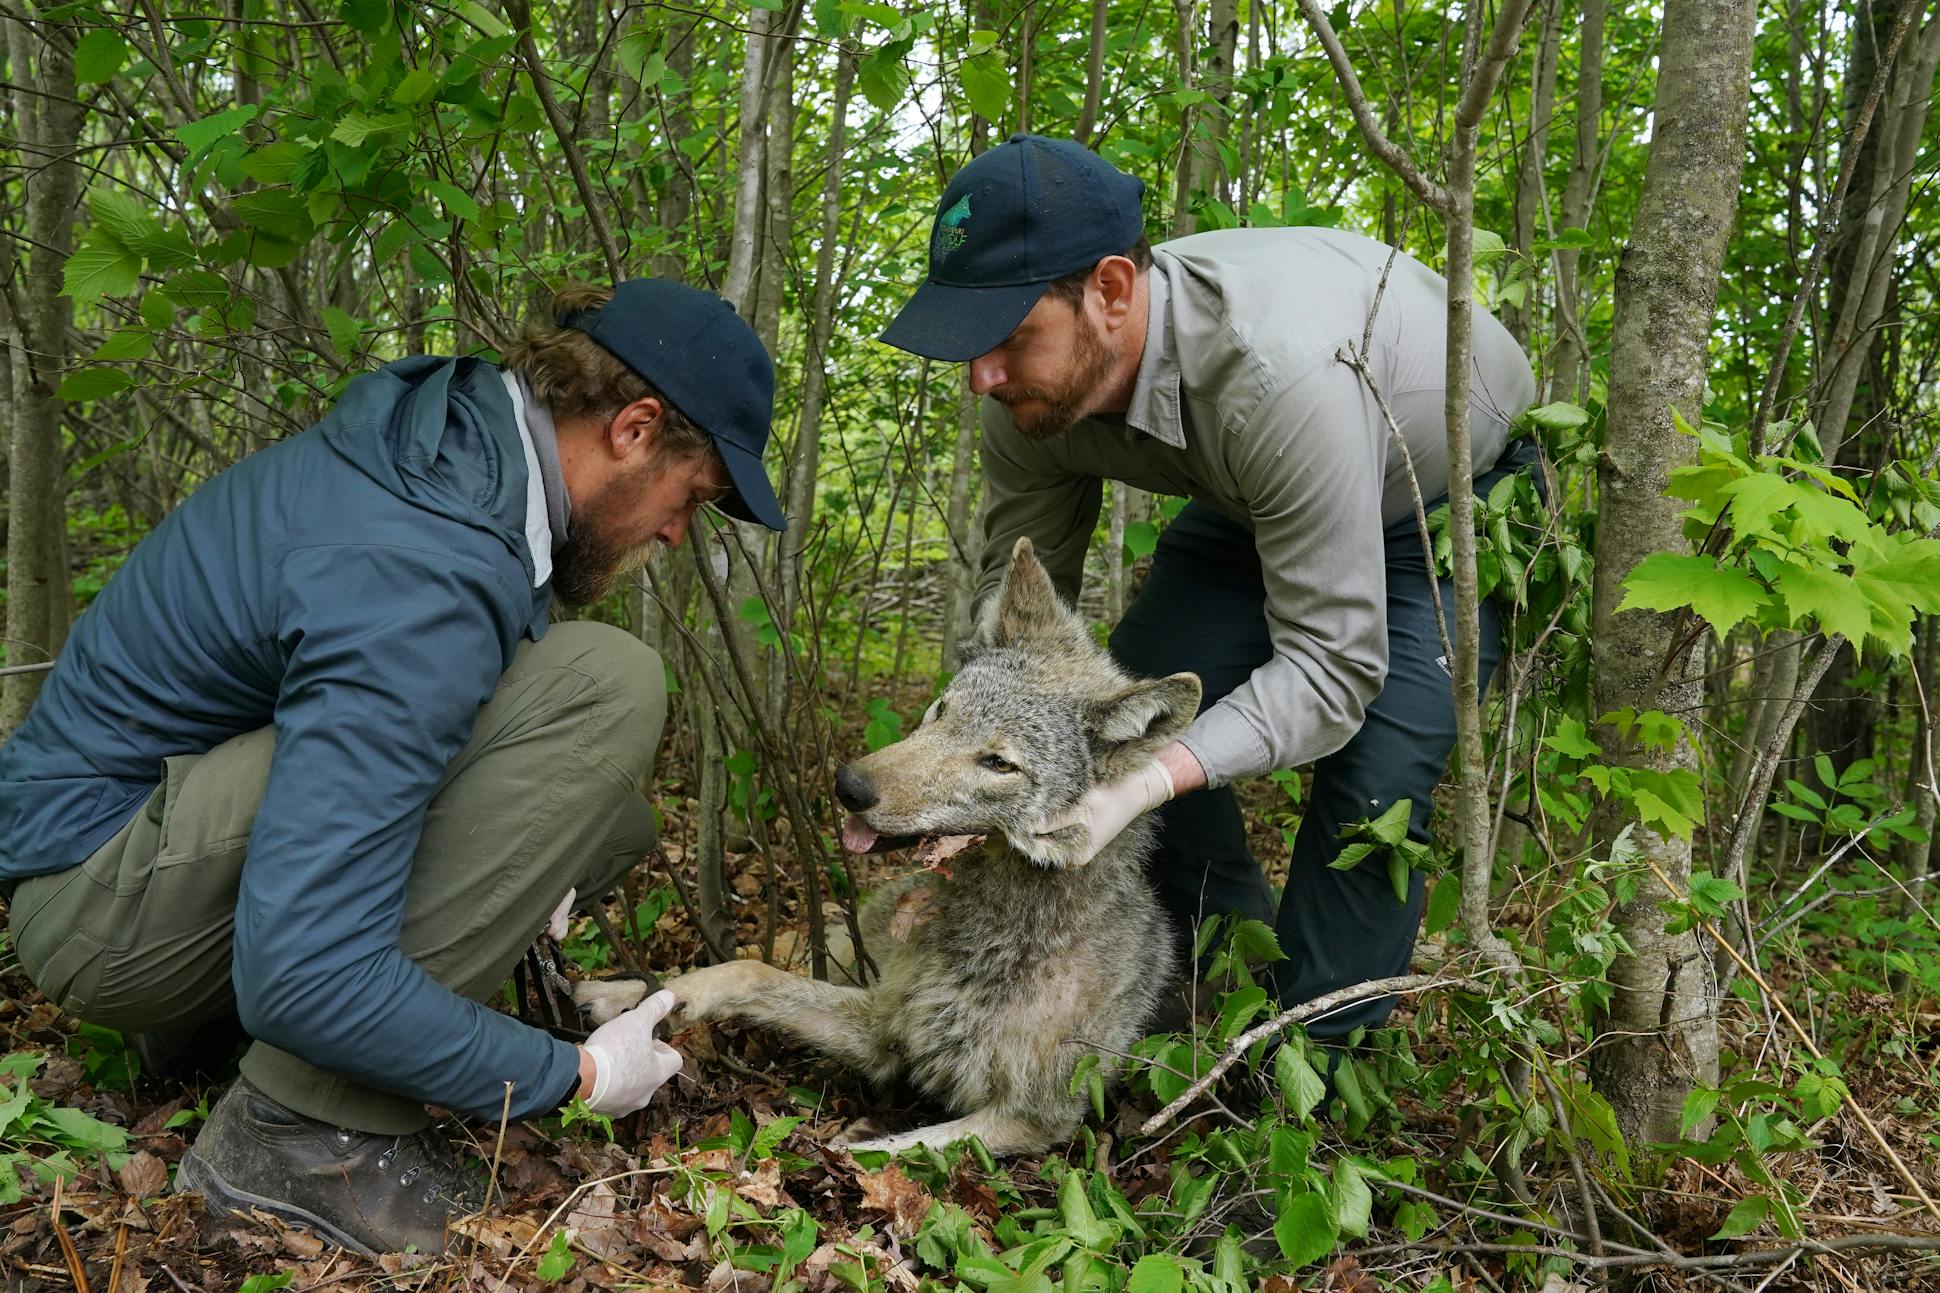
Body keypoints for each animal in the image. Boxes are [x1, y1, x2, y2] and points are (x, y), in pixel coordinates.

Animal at [580, 539, 1199, 1155]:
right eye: (942, 710)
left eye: (999, 763)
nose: (849, 785)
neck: (997, 927)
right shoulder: (880, 1026)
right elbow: (746, 972)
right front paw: (642, 1008)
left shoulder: (1031, 1118)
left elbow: (884, 1151)